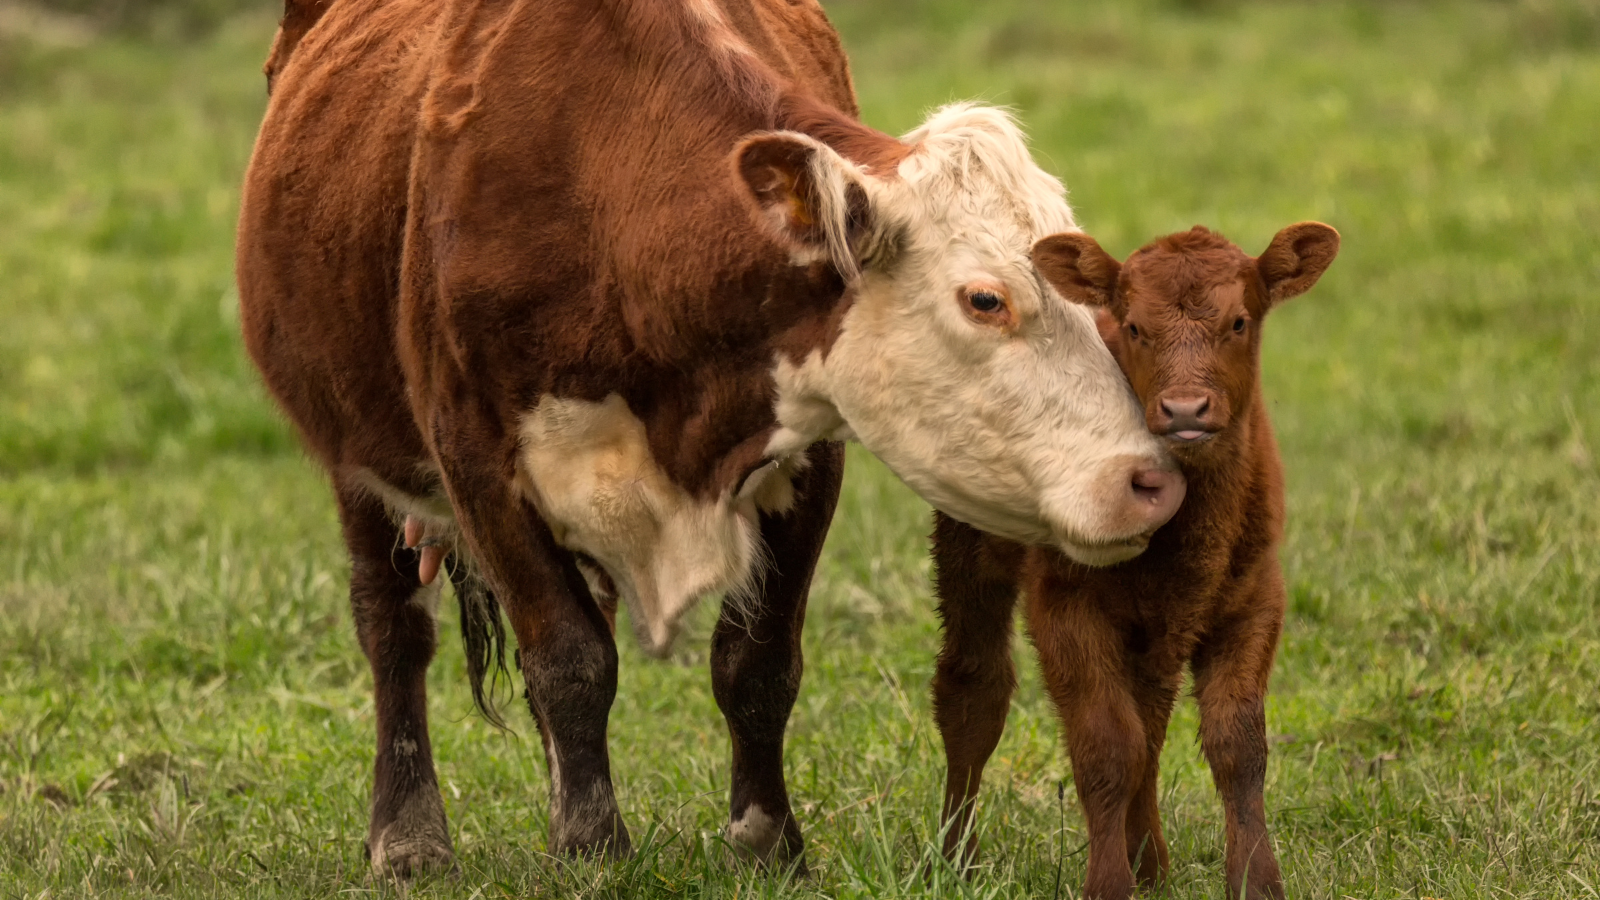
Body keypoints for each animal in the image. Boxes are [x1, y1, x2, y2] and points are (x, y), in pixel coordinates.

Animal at [236, 0, 1185, 876]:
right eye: (985, 298)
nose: (1152, 480)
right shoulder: (476, 460)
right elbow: (569, 660)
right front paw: (593, 847)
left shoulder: (809, 454)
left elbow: (754, 665)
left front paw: (765, 840)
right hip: (358, 458)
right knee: (394, 626)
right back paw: (408, 835)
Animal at [929, 223, 1340, 900]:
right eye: (1135, 327)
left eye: (1239, 321)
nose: (1186, 409)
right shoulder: (1065, 603)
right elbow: (1106, 746)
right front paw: (1107, 882)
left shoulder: (1254, 599)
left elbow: (1236, 746)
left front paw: (1255, 880)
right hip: (971, 543)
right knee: (974, 689)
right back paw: (956, 858)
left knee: (1150, 717)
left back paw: (1150, 863)